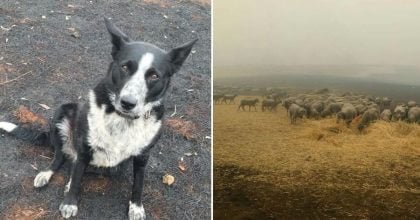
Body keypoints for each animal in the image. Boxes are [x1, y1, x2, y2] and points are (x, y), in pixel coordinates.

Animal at [0, 18, 197, 219]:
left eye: (154, 76)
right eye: (125, 67)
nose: (128, 103)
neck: (122, 119)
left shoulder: (143, 156)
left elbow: (138, 184)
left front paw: (136, 207)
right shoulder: (85, 147)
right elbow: (77, 177)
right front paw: (70, 202)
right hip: (62, 113)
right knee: (61, 157)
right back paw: (47, 174)